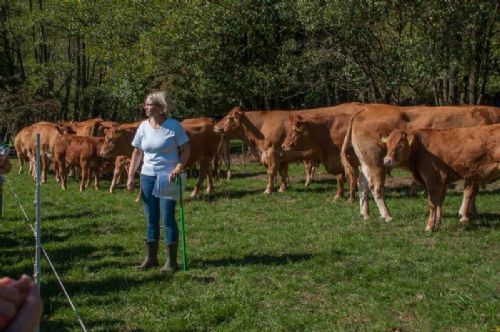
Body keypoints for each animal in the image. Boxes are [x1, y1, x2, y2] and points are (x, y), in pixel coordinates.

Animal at [340, 105, 500, 222]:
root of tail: (366, 108)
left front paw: (472, 213)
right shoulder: (474, 167)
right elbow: (470, 191)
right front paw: (465, 215)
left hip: (366, 163)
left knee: (362, 183)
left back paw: (365, 214)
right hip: (377, 164)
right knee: (375, 187)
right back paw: (387, 215)